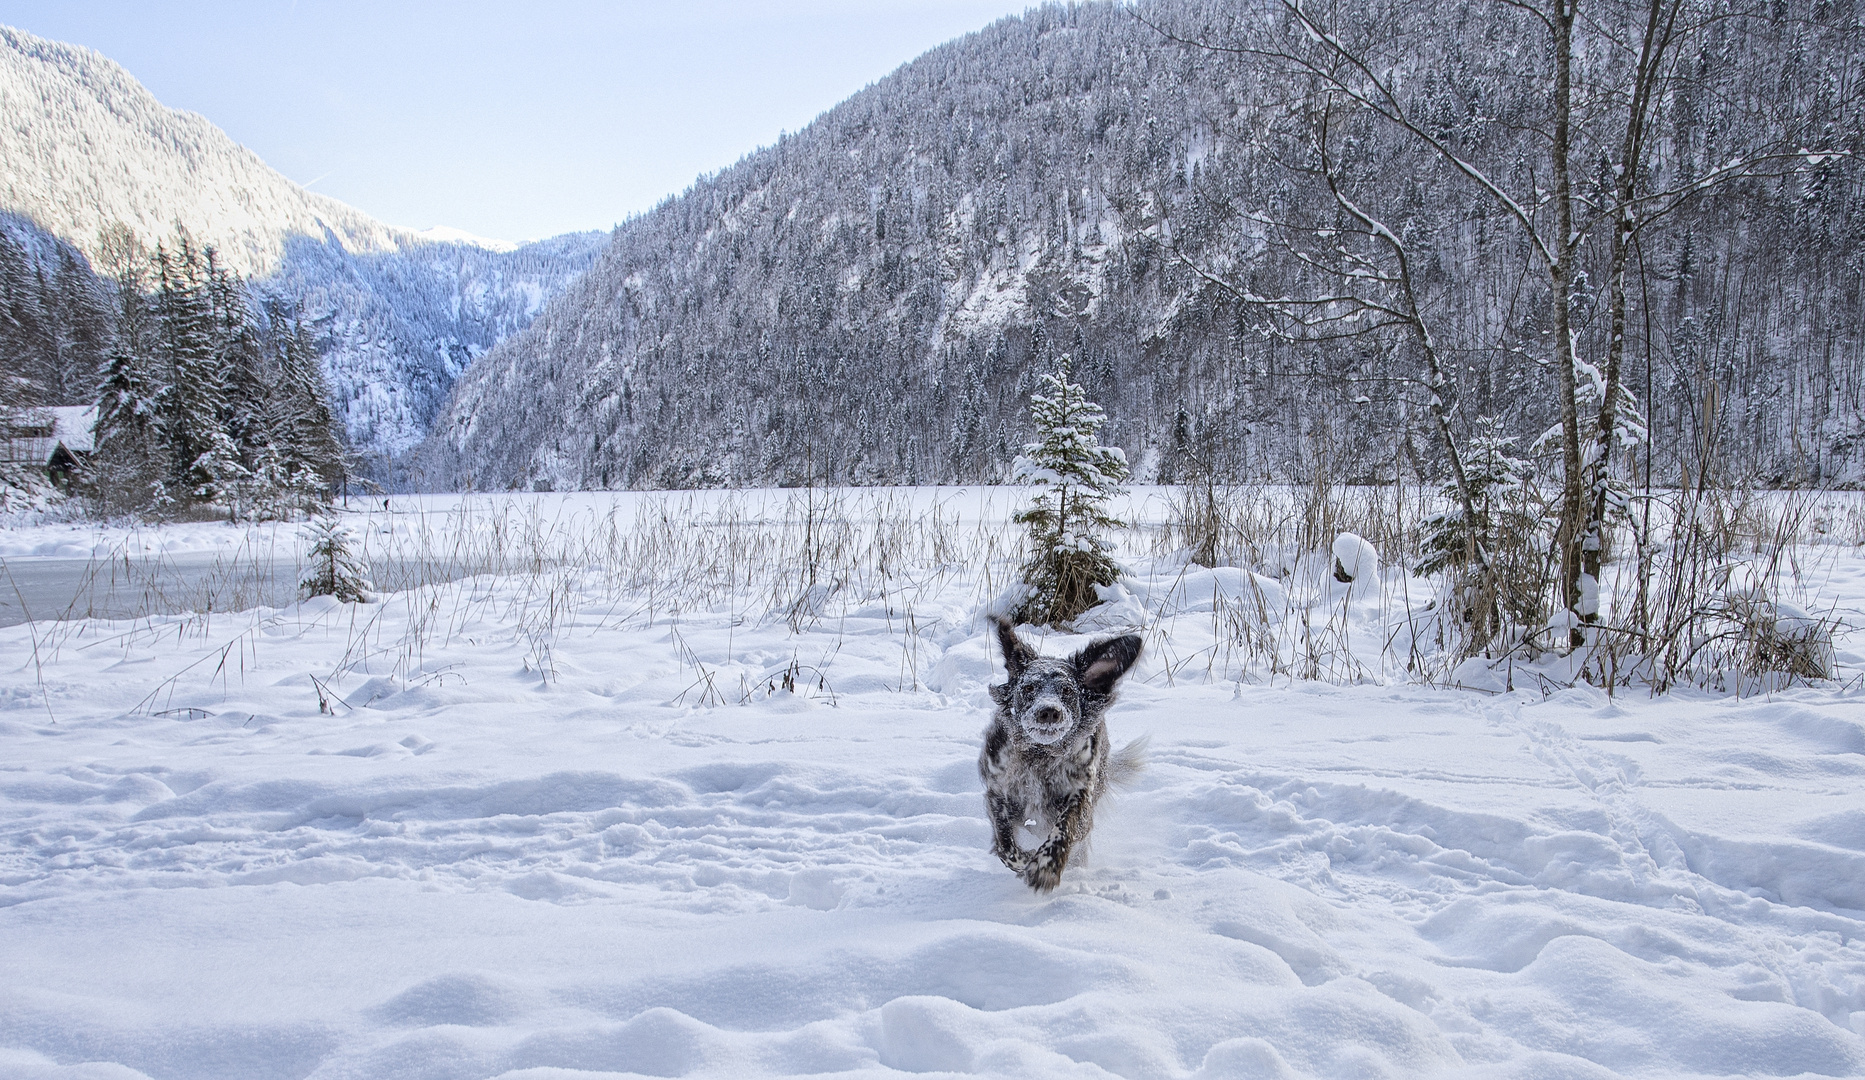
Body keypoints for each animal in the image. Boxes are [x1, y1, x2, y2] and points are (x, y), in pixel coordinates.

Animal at [984, 623, 1141, 891]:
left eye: (1067, 690)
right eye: (1028, 687)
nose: (1049, 711)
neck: (1040, 756)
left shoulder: (1080, 796)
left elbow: (1064, 828)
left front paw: (1045, 867)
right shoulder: (996, 791)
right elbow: (1006, 845)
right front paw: (1025, 859)